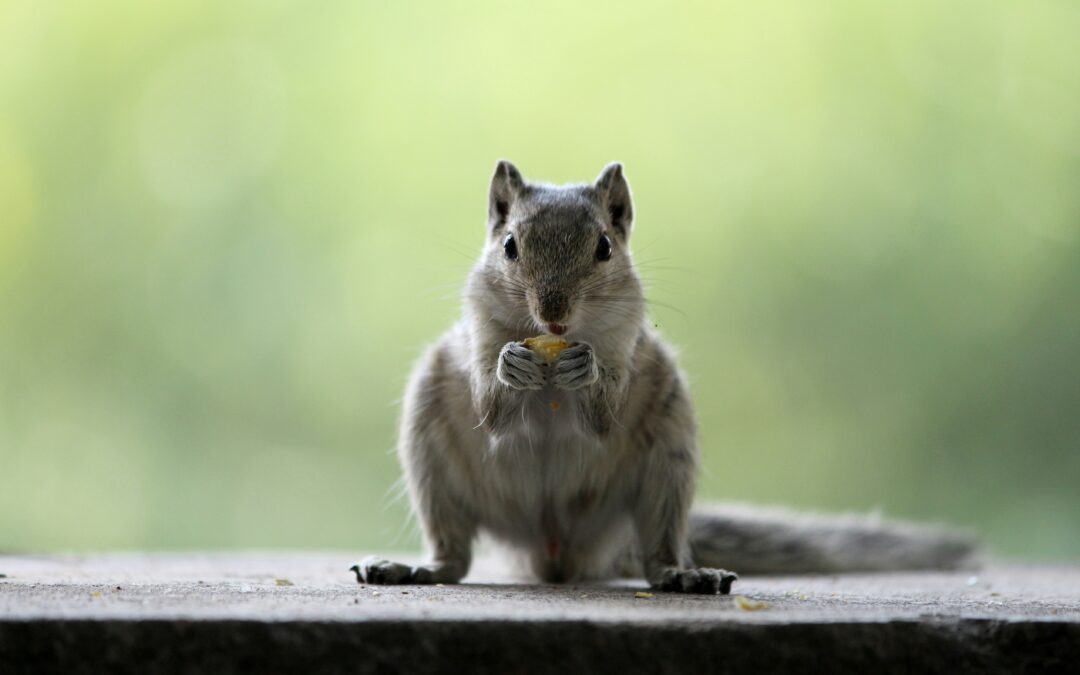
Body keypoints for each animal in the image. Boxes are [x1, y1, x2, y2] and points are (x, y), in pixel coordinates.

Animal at [352, 161, 978, 594]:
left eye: (605, 246)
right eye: (509, 245)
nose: (553, 314)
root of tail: (557, 552)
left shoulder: (627, 342)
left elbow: (603, 414)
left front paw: (588, 371)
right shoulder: (478, 333)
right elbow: (490, 407)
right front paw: (510, 366)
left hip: (667, 464)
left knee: (656, 554)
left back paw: (683, 576)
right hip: (432, 455)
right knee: (454, 558)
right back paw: (414, 568)